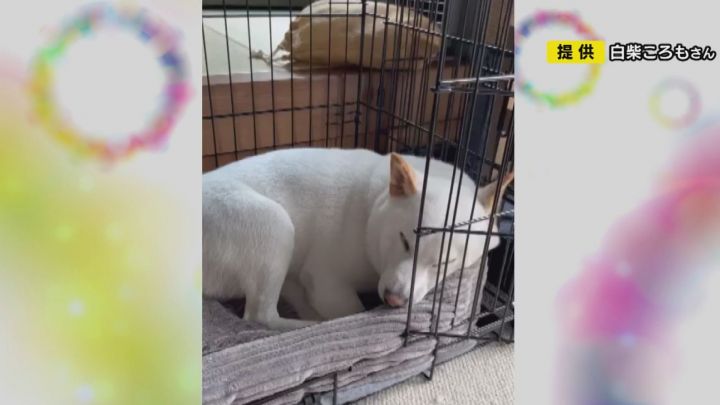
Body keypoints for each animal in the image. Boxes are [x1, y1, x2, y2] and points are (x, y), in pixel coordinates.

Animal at [203, 148, 512, 330]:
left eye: (444, 263)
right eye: (404, 240)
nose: (394, 300)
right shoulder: (326, 279)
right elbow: (351, 310)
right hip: (274, 225)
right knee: (261, 316)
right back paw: (309, 325)